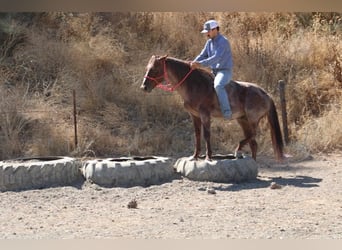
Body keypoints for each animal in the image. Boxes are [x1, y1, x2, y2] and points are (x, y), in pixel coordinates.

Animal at [139, 54, 284, 162]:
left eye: (155, 69)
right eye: (147, 67)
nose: (144, 87)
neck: (194, 85)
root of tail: (265, 94)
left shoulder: (205, 115)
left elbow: (207, 135)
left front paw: (208, 157)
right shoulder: (195, 116)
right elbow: (197, 135)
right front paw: (195, 156)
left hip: (252, 119)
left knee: (253, 135)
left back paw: (238, 149)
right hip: (243, 120)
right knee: (253, 142)